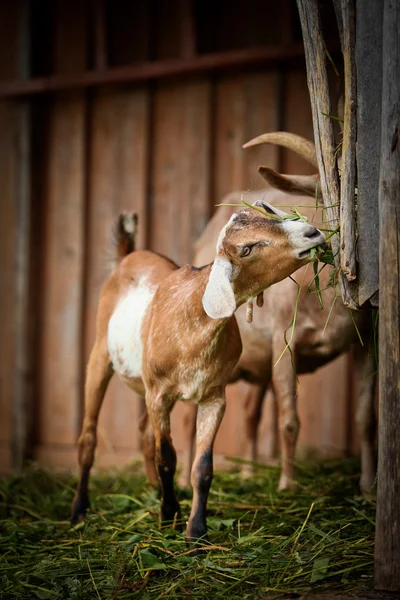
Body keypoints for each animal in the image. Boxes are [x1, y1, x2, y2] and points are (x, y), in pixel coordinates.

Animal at [71, 199, 324, 548]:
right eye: (247, 248)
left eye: (270, 217)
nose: (312, 232)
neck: (192, 319)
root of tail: (128, 256)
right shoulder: (159, 394)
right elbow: (168, 458)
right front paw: (169, 515)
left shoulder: (213, 396)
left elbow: (202, 466)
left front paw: (195, 531)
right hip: (101, 355)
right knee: (88, 436)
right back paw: (79, 511)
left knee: (144, 434)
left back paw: (153, 492)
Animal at [180, 134, 376, 494]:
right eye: (321, 196)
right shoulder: (284, 342)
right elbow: (288, 419)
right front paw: (287, 484)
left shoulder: (364, 340)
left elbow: (365, 417)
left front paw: (368, 486)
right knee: (189, 418)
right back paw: (184, 482)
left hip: (254, 363)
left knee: (249, 412)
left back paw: (248, 474)